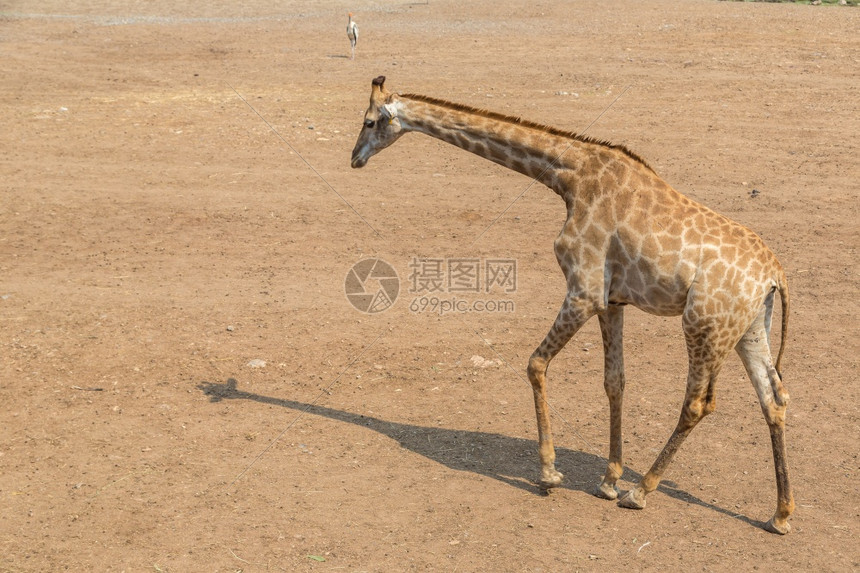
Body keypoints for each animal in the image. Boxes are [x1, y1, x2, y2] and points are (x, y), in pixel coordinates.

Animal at [350, 75, 792, 532]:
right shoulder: (612, 300)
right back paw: (780, 514)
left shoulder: (583, 291)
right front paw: (608, 480)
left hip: (703, 324)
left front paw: (550, 473)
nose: (354, 159)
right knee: (774, 398)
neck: (570, 177)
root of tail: (775, 275)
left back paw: (642, 491)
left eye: (369, 122)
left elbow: (535, 364)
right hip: (748, 328)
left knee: (698, 403)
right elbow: (615, 382)